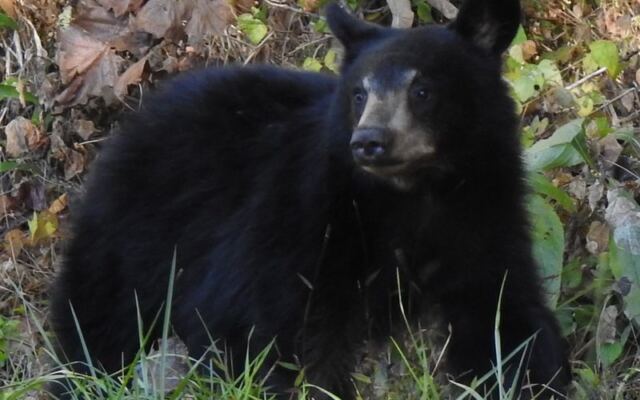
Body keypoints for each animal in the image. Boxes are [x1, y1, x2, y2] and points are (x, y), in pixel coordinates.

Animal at [49, 0, 570, 399]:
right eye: (358, 93)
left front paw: (536, 377)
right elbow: (268, 325)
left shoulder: (483, 218)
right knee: (102, 320)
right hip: (135, 236)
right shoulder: (303, 218)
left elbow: (505, 316)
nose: (369, 142)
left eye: (422, 90)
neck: (412, 196)